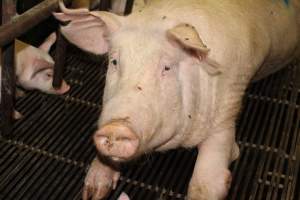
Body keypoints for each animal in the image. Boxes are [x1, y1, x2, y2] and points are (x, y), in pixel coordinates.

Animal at [54, 0, 300, 199]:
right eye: (114, 62)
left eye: (166, 67)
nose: (117, 127)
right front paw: (92, 193)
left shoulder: (229, 105)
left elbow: (206, 185)